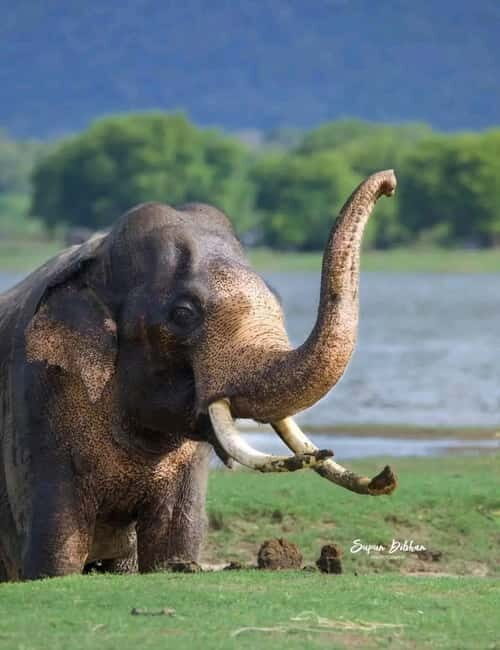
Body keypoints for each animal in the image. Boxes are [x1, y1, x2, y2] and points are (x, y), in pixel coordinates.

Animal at [0, 170, 397, 582]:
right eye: (184, 314)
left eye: (277, 298)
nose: (390, 182)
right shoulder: (39, 394)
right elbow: (55, 556)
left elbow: (172, 546)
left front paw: (175, 565)